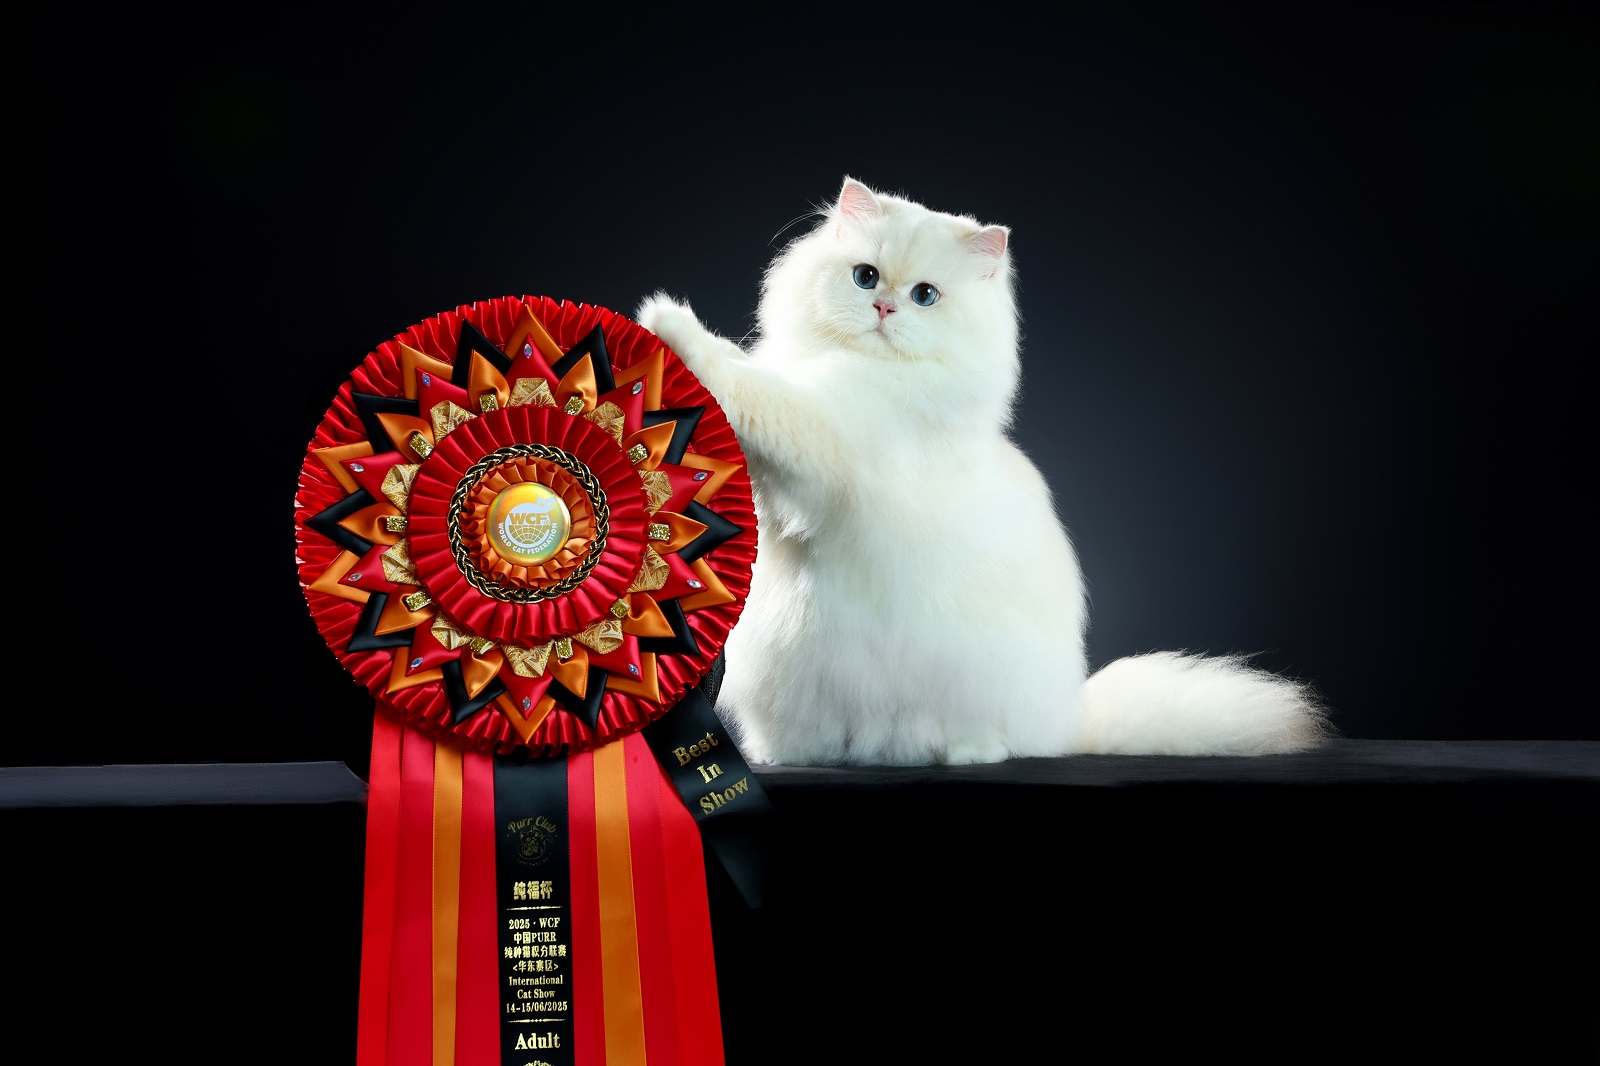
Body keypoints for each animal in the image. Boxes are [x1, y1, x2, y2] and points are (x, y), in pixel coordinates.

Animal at [636, 176, 1333, 766]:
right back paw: (793, 757)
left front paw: (666, 321)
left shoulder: (823, 432)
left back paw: (962, 754)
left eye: (925, 296)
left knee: (989, 741)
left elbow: (745, 387)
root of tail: (1066, 724)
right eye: (865, 277)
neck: (870, 374)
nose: (884, 309)